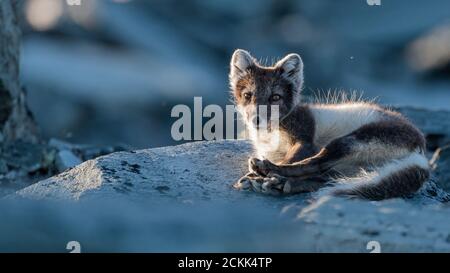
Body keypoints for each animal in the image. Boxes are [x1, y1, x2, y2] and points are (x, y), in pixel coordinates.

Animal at [230, 49, 430, 199]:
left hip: (348, 141)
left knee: (315, 163)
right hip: (347, 169)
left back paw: (266, 171)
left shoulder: (304, 136)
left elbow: (294, 158)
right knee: (322, 179)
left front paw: (266, 171)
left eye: (275, 97)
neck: (269, 137)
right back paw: (279, 184)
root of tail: (421, 152)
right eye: (248, 95)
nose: (257, 119)